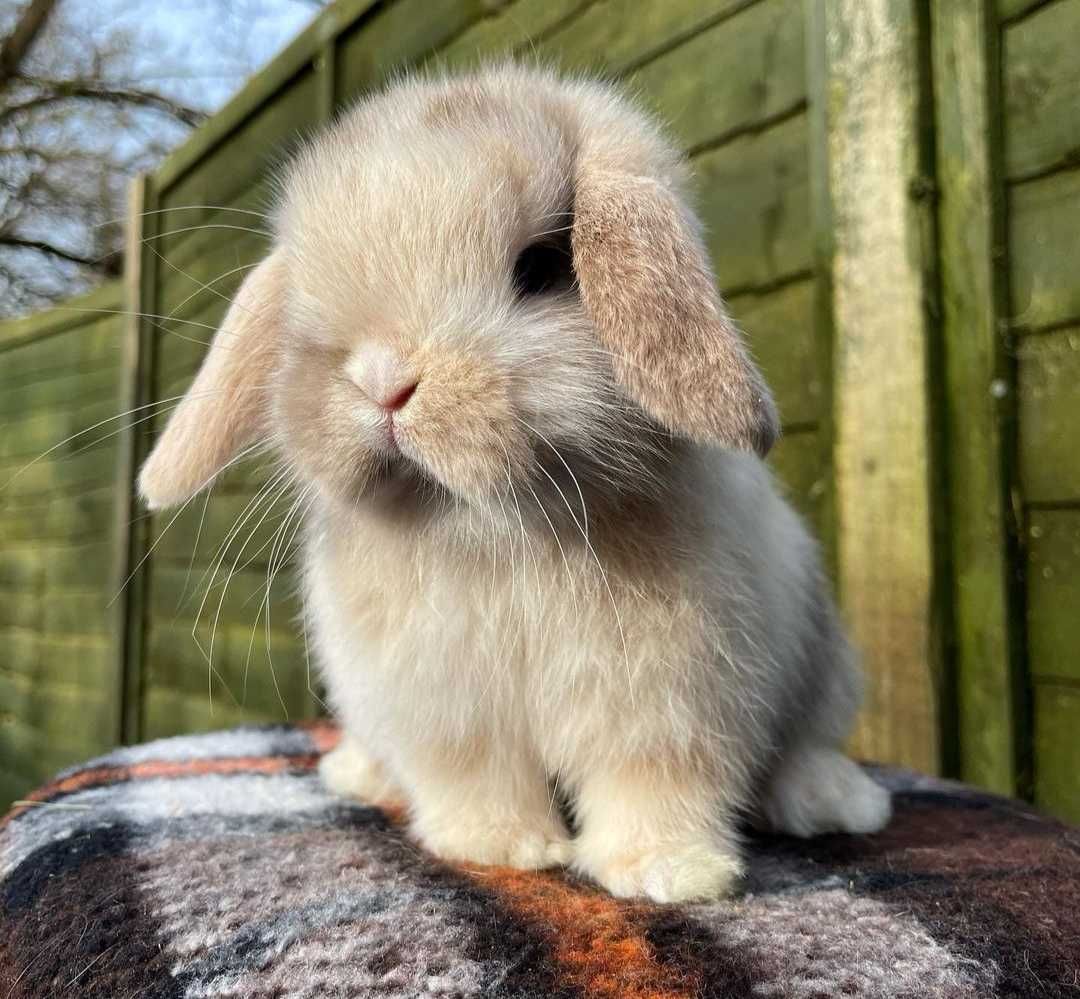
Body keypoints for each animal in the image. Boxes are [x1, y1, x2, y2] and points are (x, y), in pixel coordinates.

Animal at [139, 64, 889, 902]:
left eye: (540, 267)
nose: (383, 383)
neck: (497, 532)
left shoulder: (673, 703)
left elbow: (657, 783)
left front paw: (668, 873)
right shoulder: (449, 714)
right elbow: (476, 778)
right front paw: (503, 848)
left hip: (825, 668)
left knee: (809, 744)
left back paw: (833, 802)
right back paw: (359, 774)